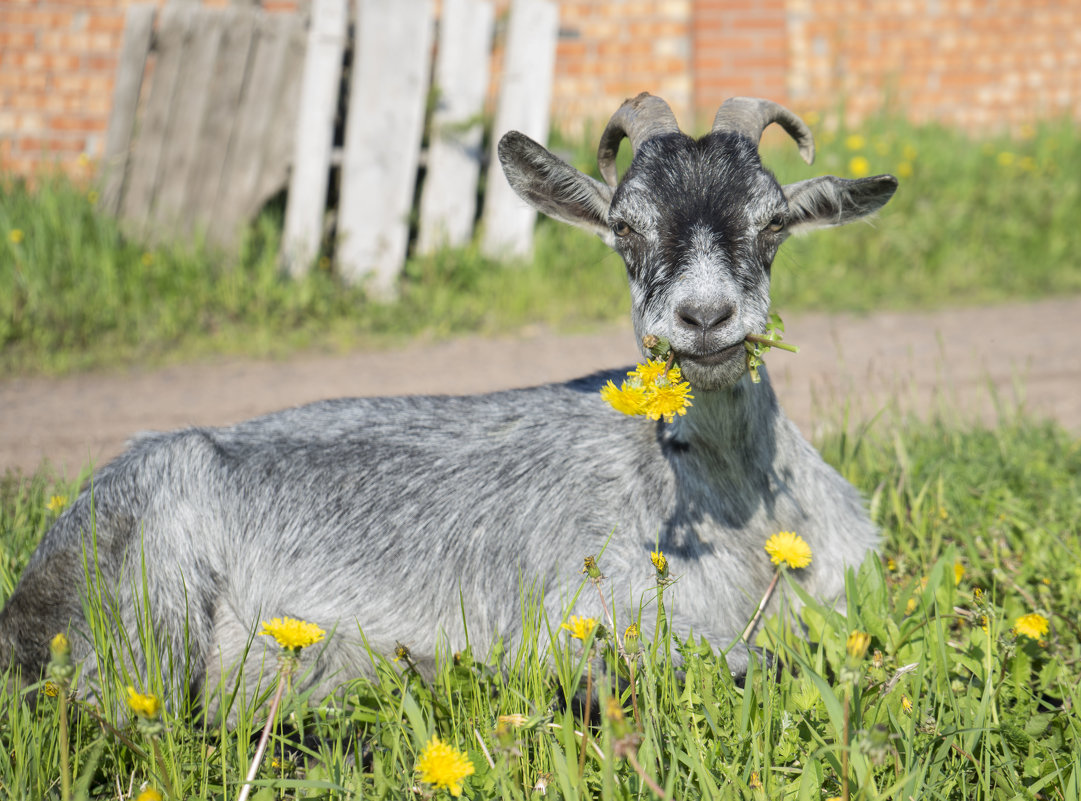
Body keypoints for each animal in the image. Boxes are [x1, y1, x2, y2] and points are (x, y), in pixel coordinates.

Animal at [0, 93, 895, 713]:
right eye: (624, 228)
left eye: (771, 222)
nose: (704, 318)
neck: (732, 506)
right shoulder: (586, 610)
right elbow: (751, 662)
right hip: (145, 606)